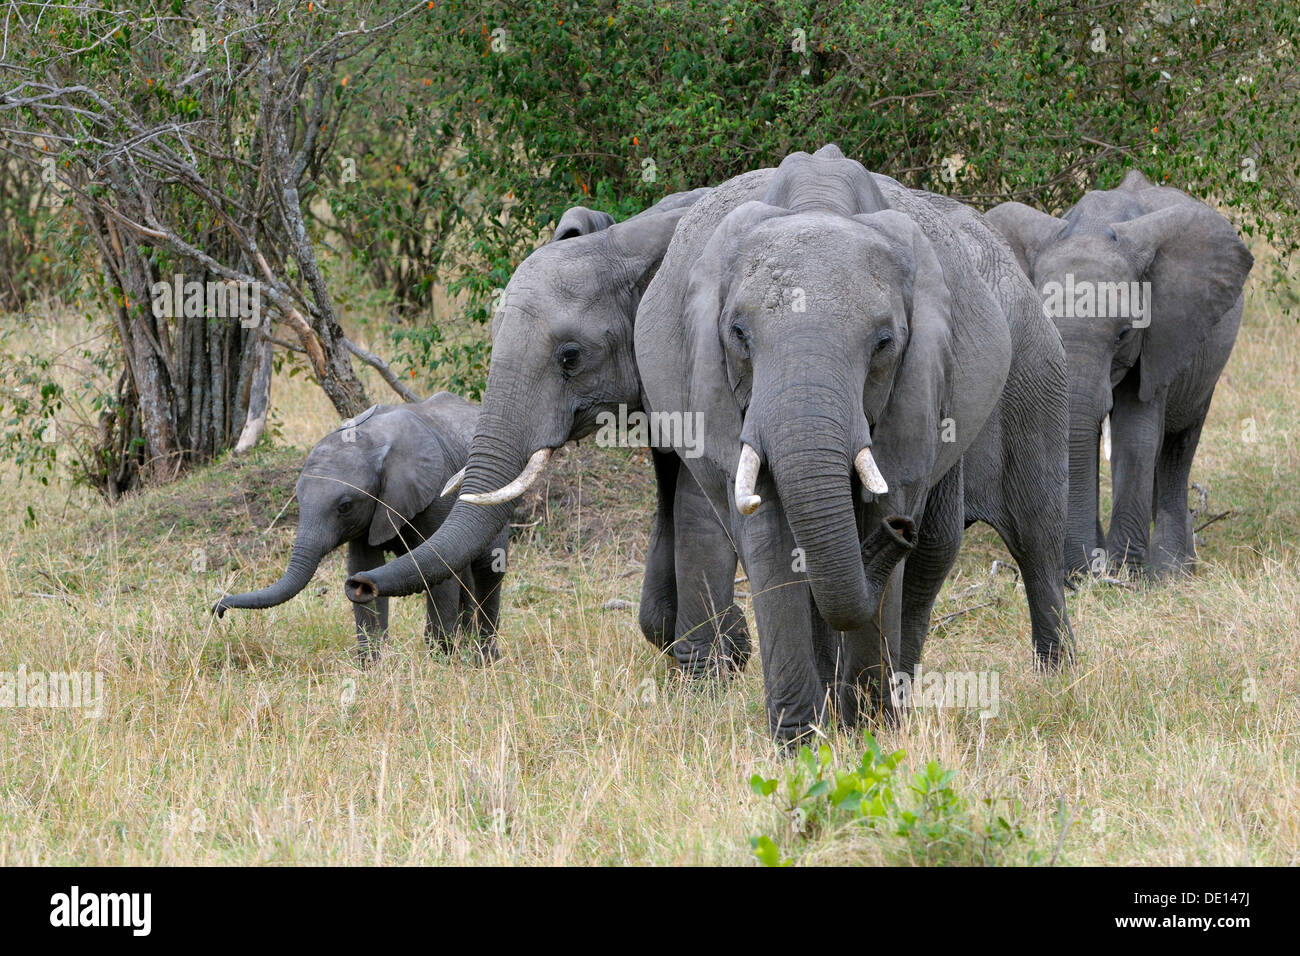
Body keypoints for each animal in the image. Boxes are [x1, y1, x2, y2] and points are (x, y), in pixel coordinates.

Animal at [209, 392, 506, 660]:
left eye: (345, 506)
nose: (218, 609)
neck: (373, 441)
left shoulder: (437, 492)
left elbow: (439, 569)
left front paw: (440, 659)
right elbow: (365, 562)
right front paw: (372, 665)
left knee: (488, 566)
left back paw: (483, 655)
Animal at [340, 191, 759, 676]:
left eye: (571, 357)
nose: (358, 584)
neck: (631, 236)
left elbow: (696, 502)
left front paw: (718, 668)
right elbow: (670, 495)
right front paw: (734, 644)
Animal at [634, 143, 1071, 738]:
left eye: (884, 342)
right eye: (738, 335)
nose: (899, 530)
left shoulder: (916, 384)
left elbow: (884, 509)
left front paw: (867, 732)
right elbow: (770, 536)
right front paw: (803, 740)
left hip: (1036, 373)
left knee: (1029, 536)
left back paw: (1058, 681)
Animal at [987, 167, 1253, 580]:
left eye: (1124, 334)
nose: (1083, 572)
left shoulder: (1162, 335)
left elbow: (1135, 435)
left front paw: (1127, 573)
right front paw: (1091, 571)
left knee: (1179, 444)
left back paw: (1172, 570)